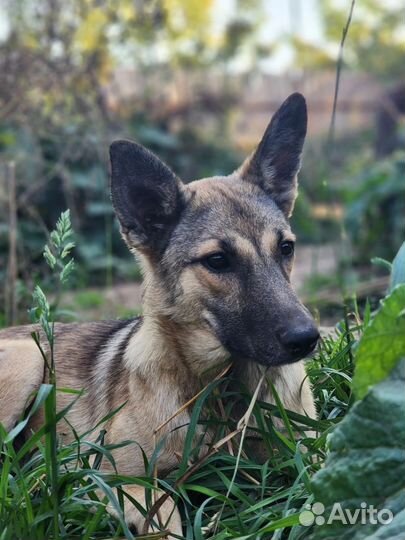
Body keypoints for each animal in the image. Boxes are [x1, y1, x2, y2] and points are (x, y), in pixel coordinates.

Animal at [0, 93, 318, 536]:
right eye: (217, 261)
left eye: (286, 248)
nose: (307, 339)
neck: (222, 390)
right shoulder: (119, 478)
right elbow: (165, 515)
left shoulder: (313, 455)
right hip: (28, 360)